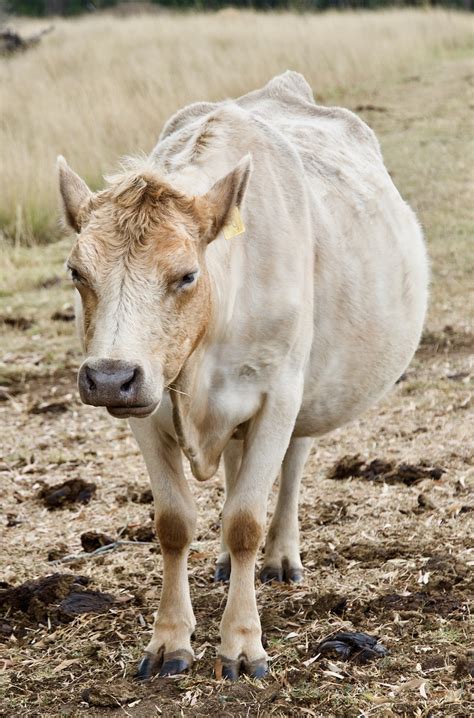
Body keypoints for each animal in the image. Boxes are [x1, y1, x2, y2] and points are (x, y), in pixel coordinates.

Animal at [57, 71, 428, 680]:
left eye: (186, 275)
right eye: (76, 272)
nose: (110, 377)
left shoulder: (278, 394)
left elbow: (245, 521)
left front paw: (242, 644)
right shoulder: (147, 409)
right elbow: (174, 522)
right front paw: (169, 641)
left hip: (303, 395)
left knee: (290, 469)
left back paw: (279, 557)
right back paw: (230, 566)